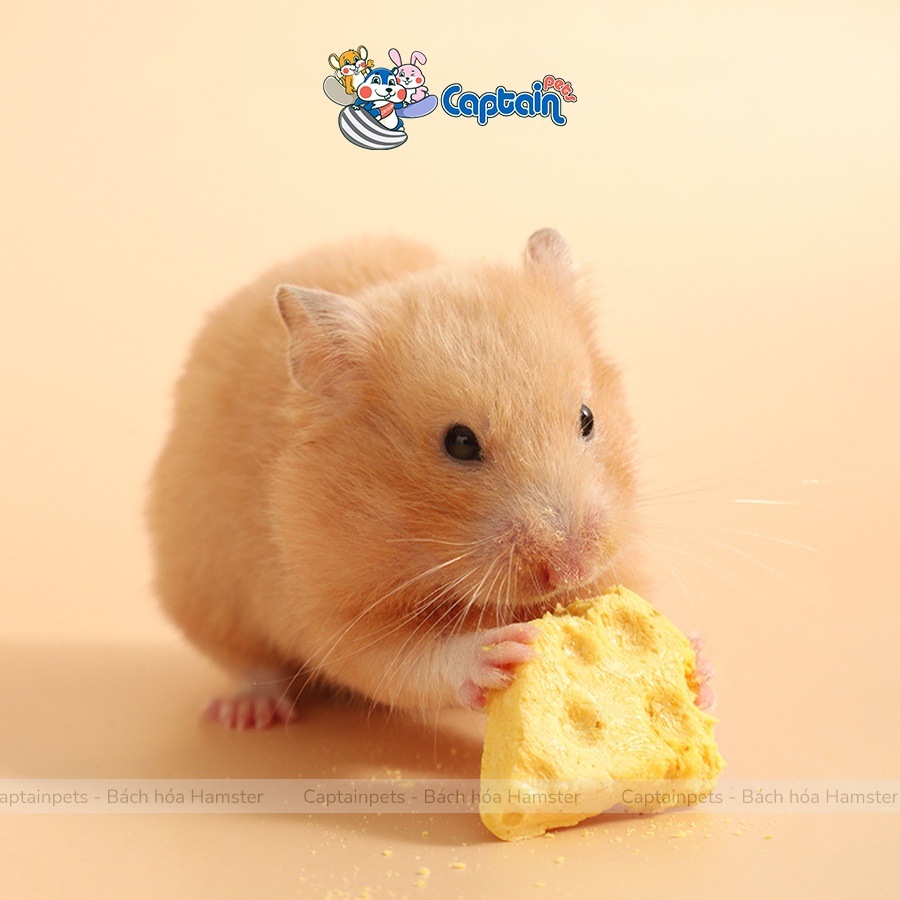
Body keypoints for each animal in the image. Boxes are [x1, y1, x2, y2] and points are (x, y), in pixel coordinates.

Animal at [146, 230, 645, 728]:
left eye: (587, 417)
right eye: (460, 443)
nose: (571, 569)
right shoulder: (335, 615)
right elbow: (408, 662)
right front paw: (503, 649)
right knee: (253, 665)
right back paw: (248, 713)